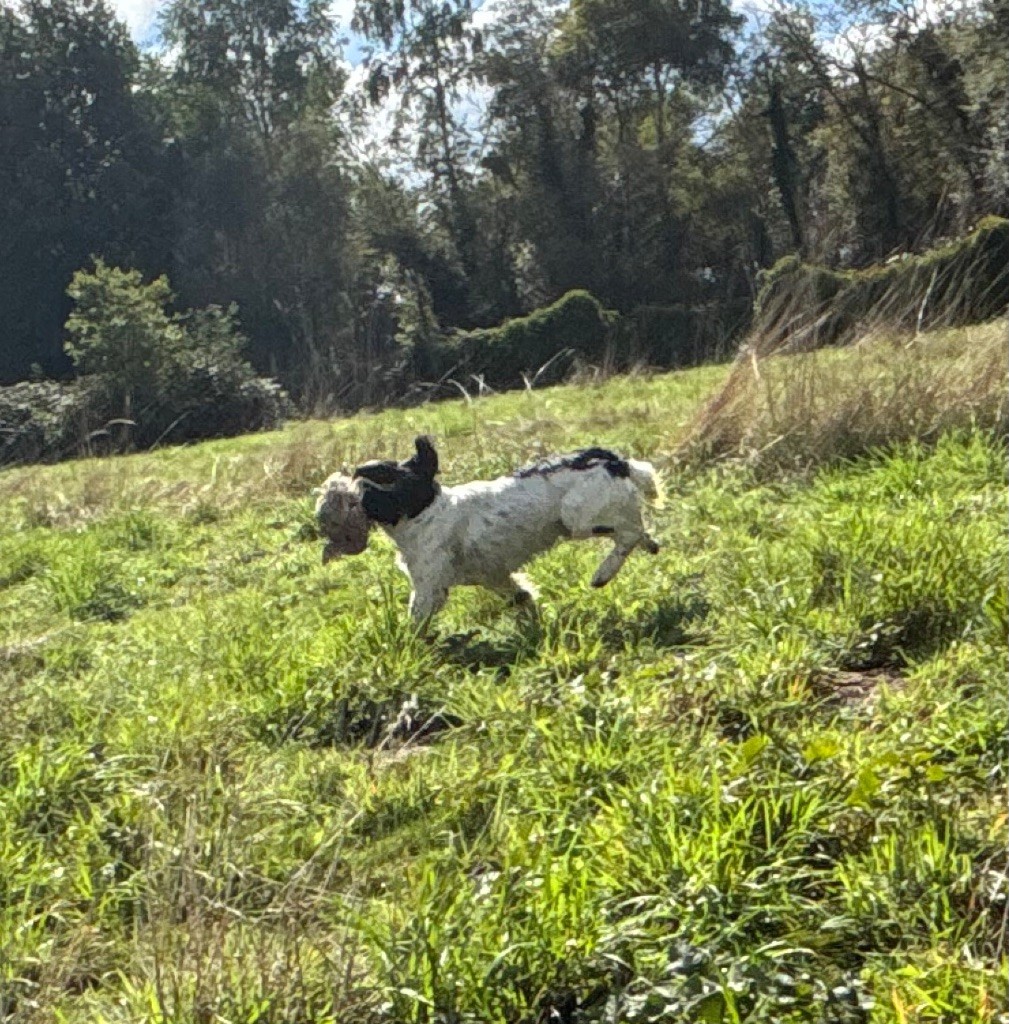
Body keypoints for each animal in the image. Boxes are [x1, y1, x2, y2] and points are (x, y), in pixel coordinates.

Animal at [315, 436, 660, 623]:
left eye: (376, 479)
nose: (344, 487)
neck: (425, 511)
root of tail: (612, 459)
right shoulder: (494, 576)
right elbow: (522, 597)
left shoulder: (430, 587)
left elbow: (413, 624)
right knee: (638, 531)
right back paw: (649, 546)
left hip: (579, 518)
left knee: (629, 534)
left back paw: (602, 574)